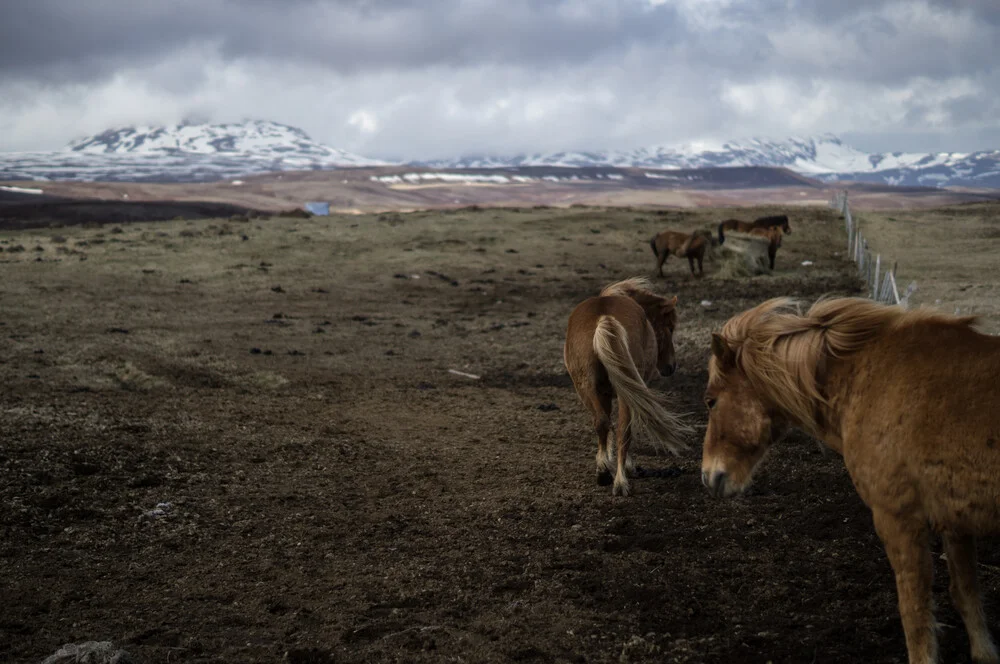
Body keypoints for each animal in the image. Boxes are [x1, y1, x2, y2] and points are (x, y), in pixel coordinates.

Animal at [564, 278, 696, 496]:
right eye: (670, 327)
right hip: (625, 393)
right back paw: (621, 481)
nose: (671, 366)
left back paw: (603, 474)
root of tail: (604, 317)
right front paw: (628, 465)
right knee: (624, 429)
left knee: (601, 422)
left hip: (587, 387)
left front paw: (605, 462)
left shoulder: (603, 393)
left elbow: (606, 423)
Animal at [700, 296, 1000, 664]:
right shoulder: (955, 522)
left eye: (711, 401)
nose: (709, 476)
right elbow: (967, 594)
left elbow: (915, 613)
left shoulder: (898, 520)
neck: (867, 381)